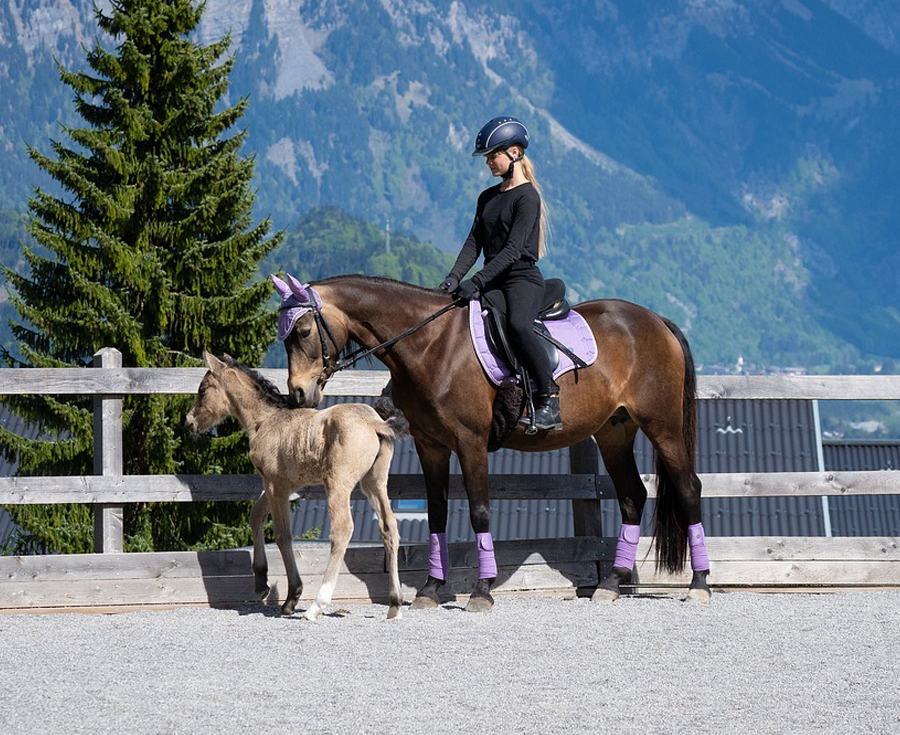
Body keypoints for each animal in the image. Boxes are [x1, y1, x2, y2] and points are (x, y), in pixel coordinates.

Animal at [274, 274, 712, 612]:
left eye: (304, 332)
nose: (298, 394)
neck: (431, 344)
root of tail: (656, 320)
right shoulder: (431, 445)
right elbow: (437, 515)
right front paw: (431, 589)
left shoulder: (470, 442)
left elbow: (480, 512)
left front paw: (482, 592)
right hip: (614, 431)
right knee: (632, 496)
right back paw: (612, 584)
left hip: (663, 425)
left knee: (689, 487)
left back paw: (700, 584)